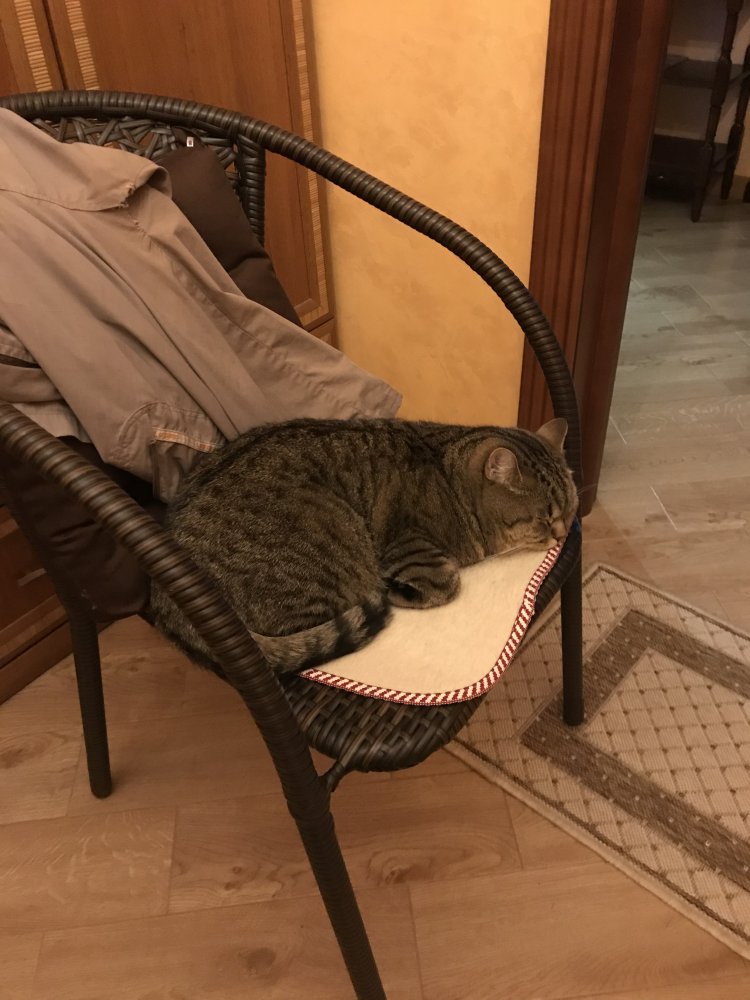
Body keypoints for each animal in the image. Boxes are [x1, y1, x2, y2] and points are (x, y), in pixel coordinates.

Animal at [151, 417, 578, 674]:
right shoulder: (412, 550)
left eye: (572, 510)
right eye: (544, 518)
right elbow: (444, 583)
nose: (561, 536)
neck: (450, 481)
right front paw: (402, 591)